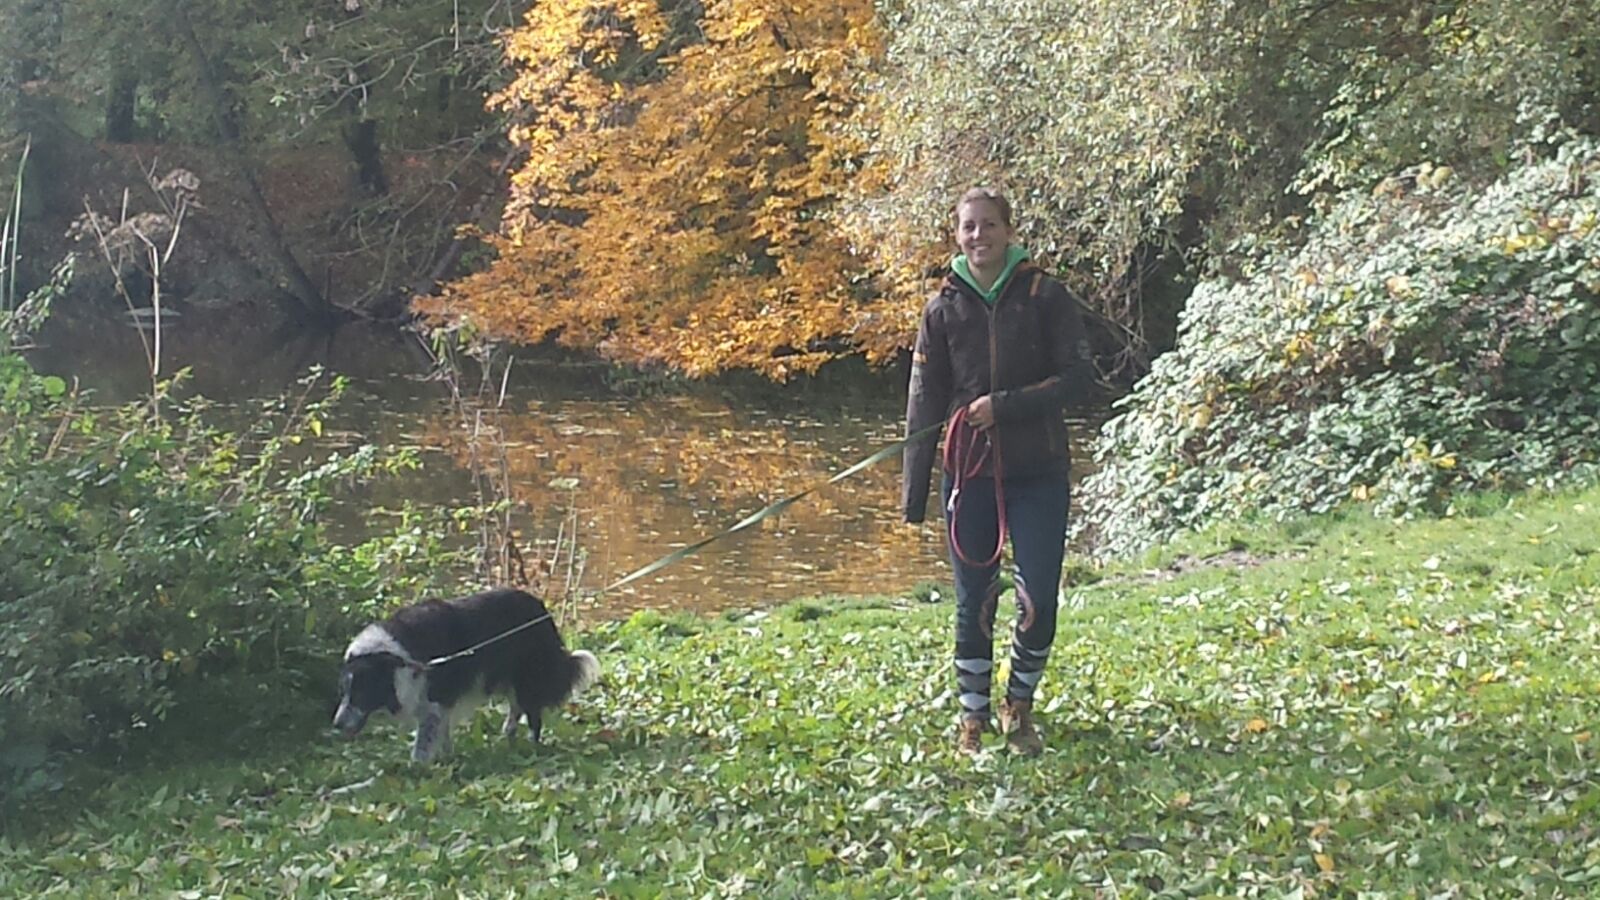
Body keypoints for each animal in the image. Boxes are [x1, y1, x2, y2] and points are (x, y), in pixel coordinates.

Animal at [332, 586, 601, 759]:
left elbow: (424, 743)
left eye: (361, 693)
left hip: (527, 675)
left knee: (533, 714)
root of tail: (541, 609)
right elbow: (442, 732)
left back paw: (532, 748)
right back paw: (509, 735)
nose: (336, 724)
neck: (394, 658)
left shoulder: (435, 699)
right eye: (344, 692)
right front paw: (446, 758)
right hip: (506, 677)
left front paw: (418, 769)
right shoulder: (437, 704)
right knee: (516, 707)